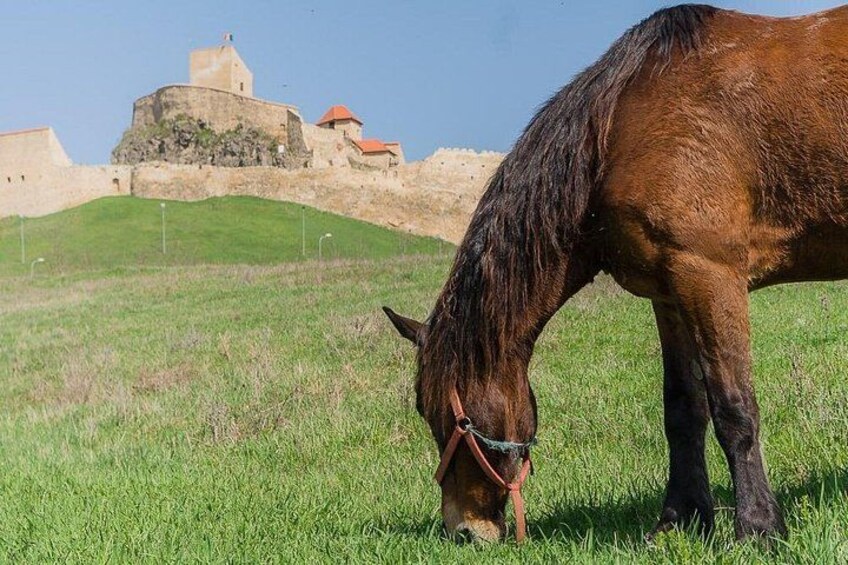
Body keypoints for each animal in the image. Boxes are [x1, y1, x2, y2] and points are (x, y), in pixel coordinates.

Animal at [384, 3, 848, 543]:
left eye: (442, 415)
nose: (463, 529)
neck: (618, 125)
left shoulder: (710, 275)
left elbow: (734, 407)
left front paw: (758, 527)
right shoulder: (669, 293)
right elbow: (683, 409)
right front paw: (680, 518)